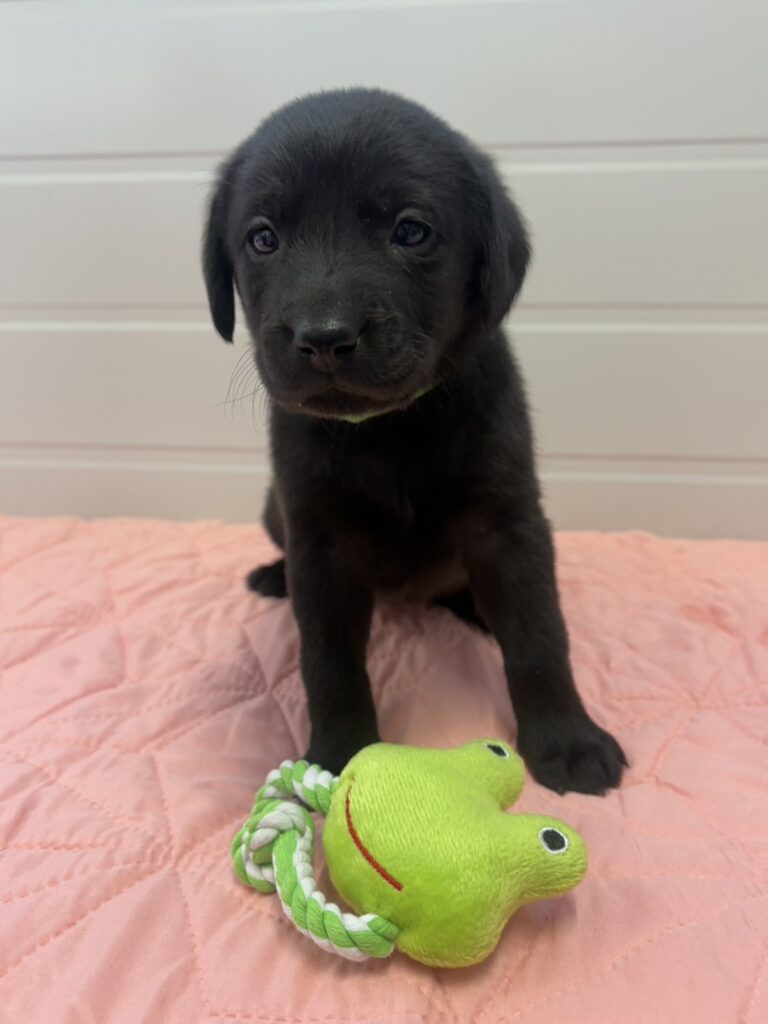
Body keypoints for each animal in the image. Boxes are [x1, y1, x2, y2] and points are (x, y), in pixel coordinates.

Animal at [202, 89, 626, 794]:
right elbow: (328, 659)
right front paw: (337, 755)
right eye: (262, 238)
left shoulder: (508, 523)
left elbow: (539, 635)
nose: (324, 337)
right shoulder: (320, 540)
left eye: (410, 230)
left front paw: (567, 741)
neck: (390, 429)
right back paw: (273, 576)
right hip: (274, 509)